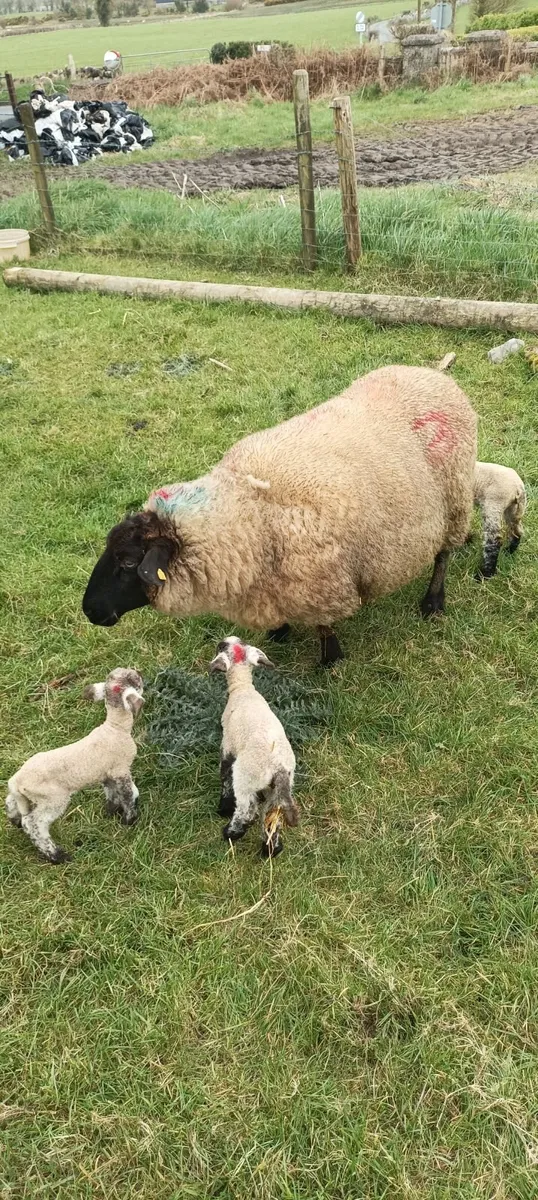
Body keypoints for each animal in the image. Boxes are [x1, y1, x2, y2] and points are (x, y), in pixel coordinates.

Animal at [5, 668, 143, 863]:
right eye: (136, 680)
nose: (140, 672)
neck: (115, 727)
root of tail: (16, 781)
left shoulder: (107, 773)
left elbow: (112, 793)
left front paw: (111, 811)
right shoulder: (121, 769)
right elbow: (128, 794)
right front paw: (129, 820)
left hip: (26, 796)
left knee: (11, 802)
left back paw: (15, 821)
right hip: (53, 798)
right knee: (34, 823)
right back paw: (57, 855)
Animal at [82, 365, 478, 666]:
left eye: (129, 563)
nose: (90, 611)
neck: (246, 512)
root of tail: (433, 373)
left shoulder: (320, 583)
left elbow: (324, 626)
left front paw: (330, 659)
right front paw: (279, 631)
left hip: (454, 502)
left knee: (443, 554)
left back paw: (433, 602)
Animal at [209, 636, 299, 857]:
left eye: (221, 647)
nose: (224, 640)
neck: (242, 688)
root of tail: (279, 768)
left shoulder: (227, 745)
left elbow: (224, 776)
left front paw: (223, 807)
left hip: (246, 778)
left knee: (248, 811)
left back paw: (231, 833)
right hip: (277, 791)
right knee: (272, 817)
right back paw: (271, 850)